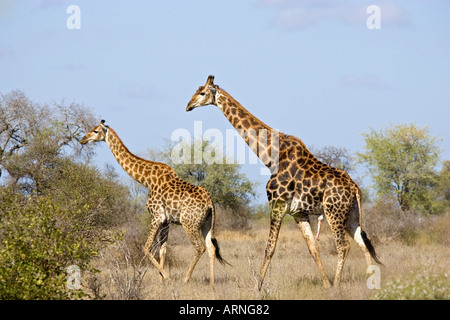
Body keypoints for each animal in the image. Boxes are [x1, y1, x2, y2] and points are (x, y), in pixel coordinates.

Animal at [79, 121, 229, 286]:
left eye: (95, 131)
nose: (82, 139)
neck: (146, 180)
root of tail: (210, 203)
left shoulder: (157, 216)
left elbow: (146, 248)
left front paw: (167, 278)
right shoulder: (166, 221)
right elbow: (162, 250)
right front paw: (161, 281)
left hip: (189, 223)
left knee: (199, 247)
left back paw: (185, 279)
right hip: (206, 223)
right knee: (211, 248)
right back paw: (212, 284)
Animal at [185, 75, 382, 290]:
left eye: (202, 92)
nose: (188, 106)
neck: (271, 157)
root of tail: (355, 189)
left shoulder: (277, 204)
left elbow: (269, 247)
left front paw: (258, 287)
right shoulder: (298, 213)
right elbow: (313, 248)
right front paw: (326, 284)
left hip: (334, 213)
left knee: (344, 246)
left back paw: (339, 286)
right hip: (352, 215)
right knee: (363, 244)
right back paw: (371, 285)